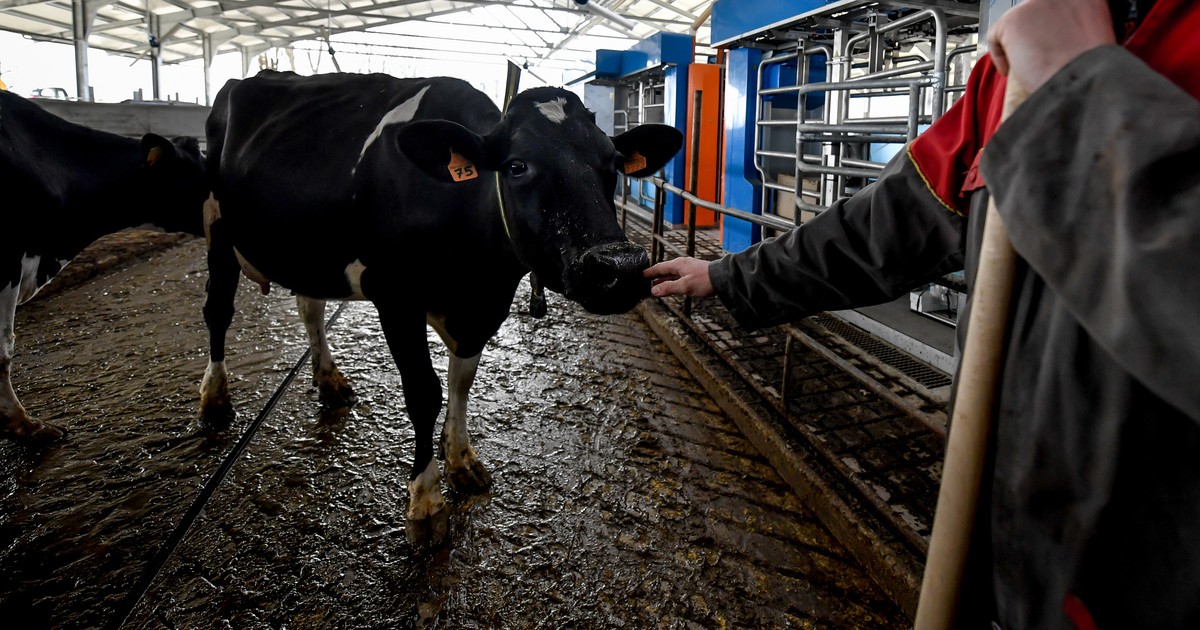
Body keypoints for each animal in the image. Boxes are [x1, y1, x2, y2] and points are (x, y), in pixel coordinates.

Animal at [201, 71, 681, 544]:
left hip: (310, 251)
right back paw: (215, 399)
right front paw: (426, 500)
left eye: (614, 164)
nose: (621, 266)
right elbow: (424, 392)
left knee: (309, 307)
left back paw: (329, 381)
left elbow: (461, 382)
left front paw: (461, 459)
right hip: (216, 228)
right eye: (516, 165)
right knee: (217, 311)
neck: (476, 270)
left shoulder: (483, 307)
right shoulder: (396, 298)